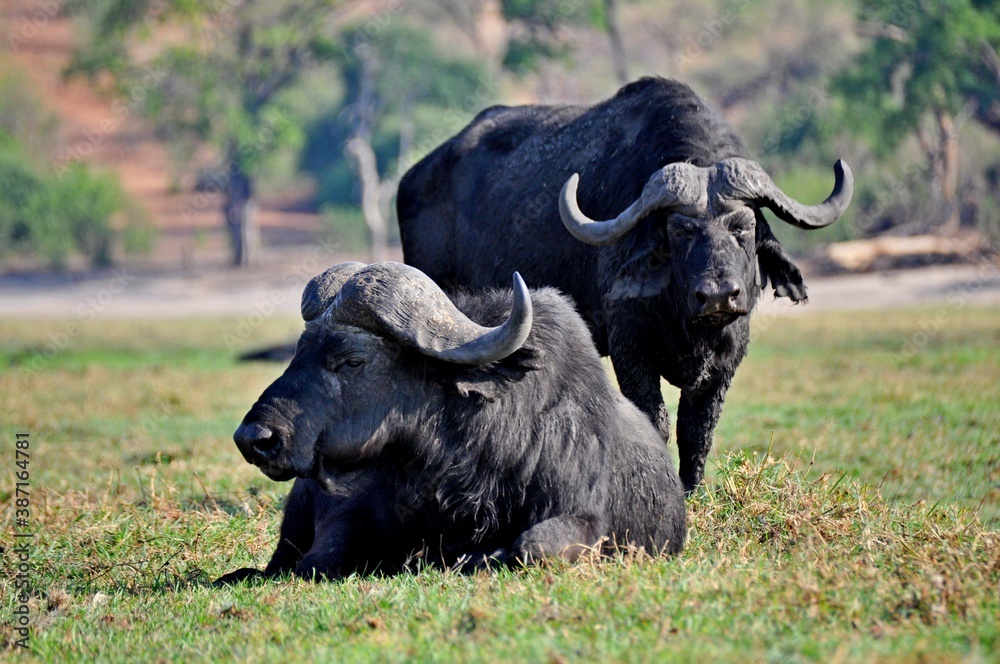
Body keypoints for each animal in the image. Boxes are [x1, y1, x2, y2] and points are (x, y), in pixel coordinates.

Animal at [218, 261, 685, 582]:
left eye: (352, 359)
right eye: (299, 349)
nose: (254, 437)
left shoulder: (583, 518)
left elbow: (531, 546)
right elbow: (319, 559)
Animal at [397, 76, 853, 491]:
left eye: (743, 226)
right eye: (680, 230)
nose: (718, 295)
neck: (684, 317)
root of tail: (414, 178)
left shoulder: (727, 357)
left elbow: (697, 429)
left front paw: (691, 489)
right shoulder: (630, 346)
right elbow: (654, 420)